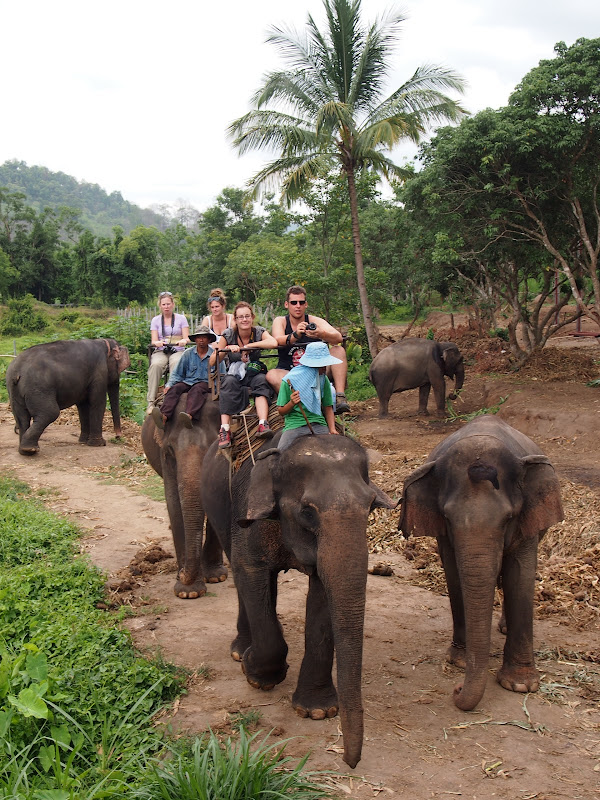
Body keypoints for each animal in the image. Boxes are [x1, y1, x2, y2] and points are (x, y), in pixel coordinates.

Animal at [141, 396, 227, 600]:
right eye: (171, 450)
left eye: (212, 446)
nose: (181, 573)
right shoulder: (165, 458)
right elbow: (173, 502)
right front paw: (188, 592)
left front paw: (215, 577)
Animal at [203, 434, 398, 772]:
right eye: (308, 512)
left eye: (371, 506)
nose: (349, 761)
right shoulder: (247, 514)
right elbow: (249, 570)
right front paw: (256, 674)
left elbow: (322, 596)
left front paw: (317, 711)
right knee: (241, 574)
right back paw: (240, 651)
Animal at [398, 416, 564, 708]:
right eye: (447, 517)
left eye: (509, 518)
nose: (456, 689)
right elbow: (454, 575)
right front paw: (460, 662)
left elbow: (520, 576)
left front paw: (520, 685)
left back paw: (504, 629)